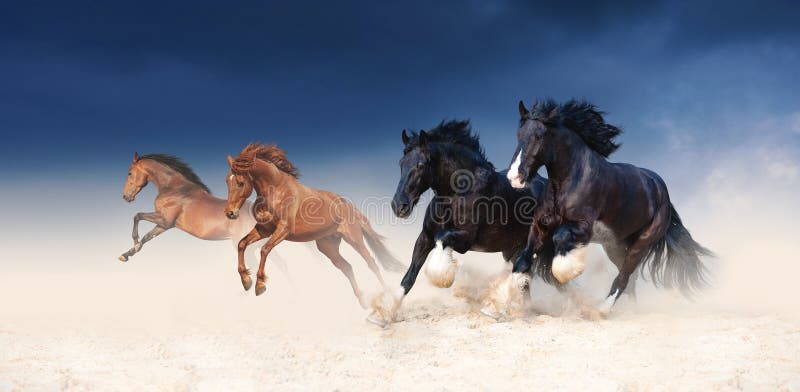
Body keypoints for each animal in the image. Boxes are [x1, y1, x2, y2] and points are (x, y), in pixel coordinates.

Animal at [120, 153, 286, 270]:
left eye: (129, 173)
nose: (125, 196)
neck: (175, 189)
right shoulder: (165, 225)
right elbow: (147, 236)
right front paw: (127, 254)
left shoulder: (165, 220)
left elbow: (137, 216)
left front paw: (135, 244)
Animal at [222, 142, 404, 304]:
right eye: (227, 181)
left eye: (240, 182)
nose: (230, 213)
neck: (276, 190)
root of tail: (348, 205)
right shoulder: (264, 229)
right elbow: (242, 244)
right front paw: (246, 281)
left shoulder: (283, 229)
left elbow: (265, 249)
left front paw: (259, 285)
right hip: (328, 247)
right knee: (347, 267)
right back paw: (363, 301)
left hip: (354, 240)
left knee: (372, 264)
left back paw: (389, 297)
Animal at [370, 121, 552, 326]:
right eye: (401, 163)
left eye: (421, 164)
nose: (399, 206)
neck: (456, 193)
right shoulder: (425, 237)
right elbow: (409, 277)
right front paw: (383, 315)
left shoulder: (465, 239)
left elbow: (442, 239)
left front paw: (442, 277)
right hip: (513, 249)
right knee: (523, 280)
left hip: (533, 244)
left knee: (522, 273)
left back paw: (498, 310)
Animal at [506, 101, 712, 316]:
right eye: (519, 135)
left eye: (539, 136)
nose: (514, 177)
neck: (571, 180)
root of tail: (660, 190)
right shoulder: (541, 226)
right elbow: (522, 261)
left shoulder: (583, 228)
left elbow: (560, 237)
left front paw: (567, 270)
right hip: (615, 246)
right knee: (630, 278)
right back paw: (629, 310)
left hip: (642, 243)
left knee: (624, 276)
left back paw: (602, 309)